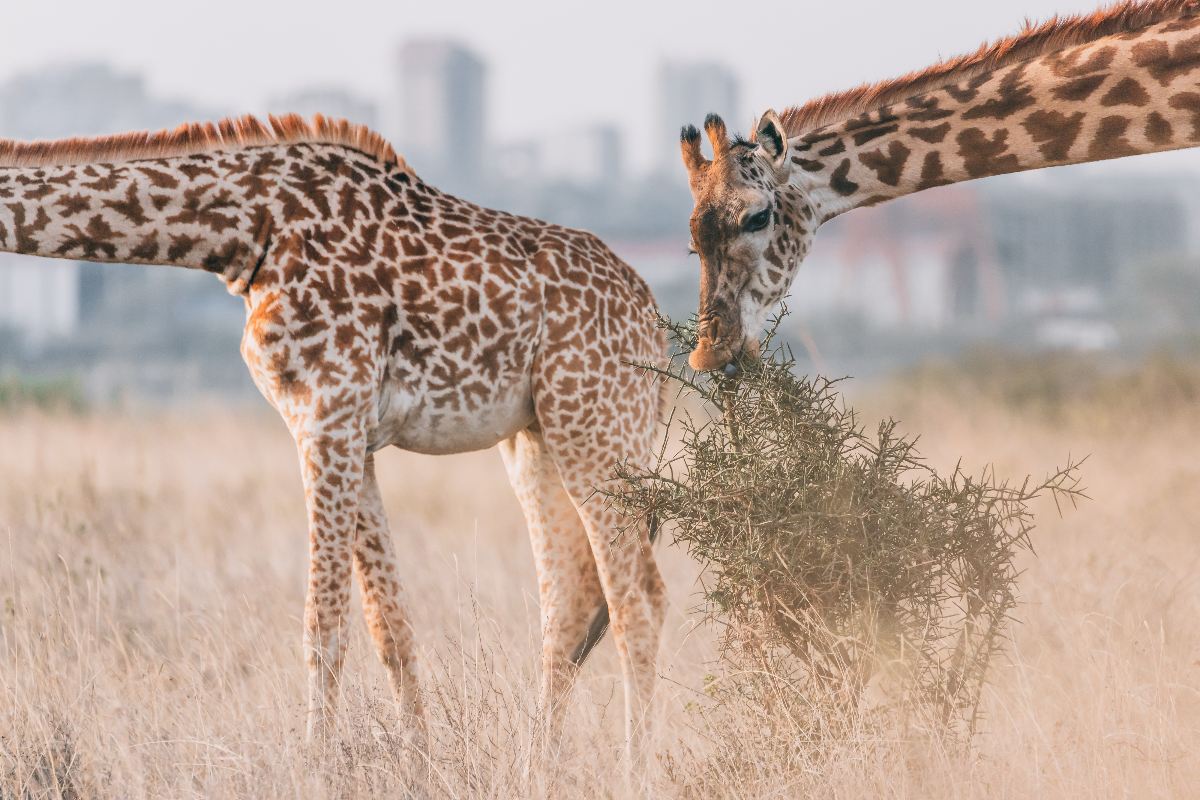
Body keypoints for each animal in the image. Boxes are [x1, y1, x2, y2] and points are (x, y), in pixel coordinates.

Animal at [0, 115, 667, 762]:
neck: (241, 232)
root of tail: (653, 322)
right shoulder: (352, 434)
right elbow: (388, 625)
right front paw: (418, 762)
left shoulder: (327, 415)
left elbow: (323, 623)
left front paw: (315, 764)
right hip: (540, 438)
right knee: (572, 603)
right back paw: (537, 767)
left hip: (598, 428)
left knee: (638, 600)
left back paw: (635, 770)